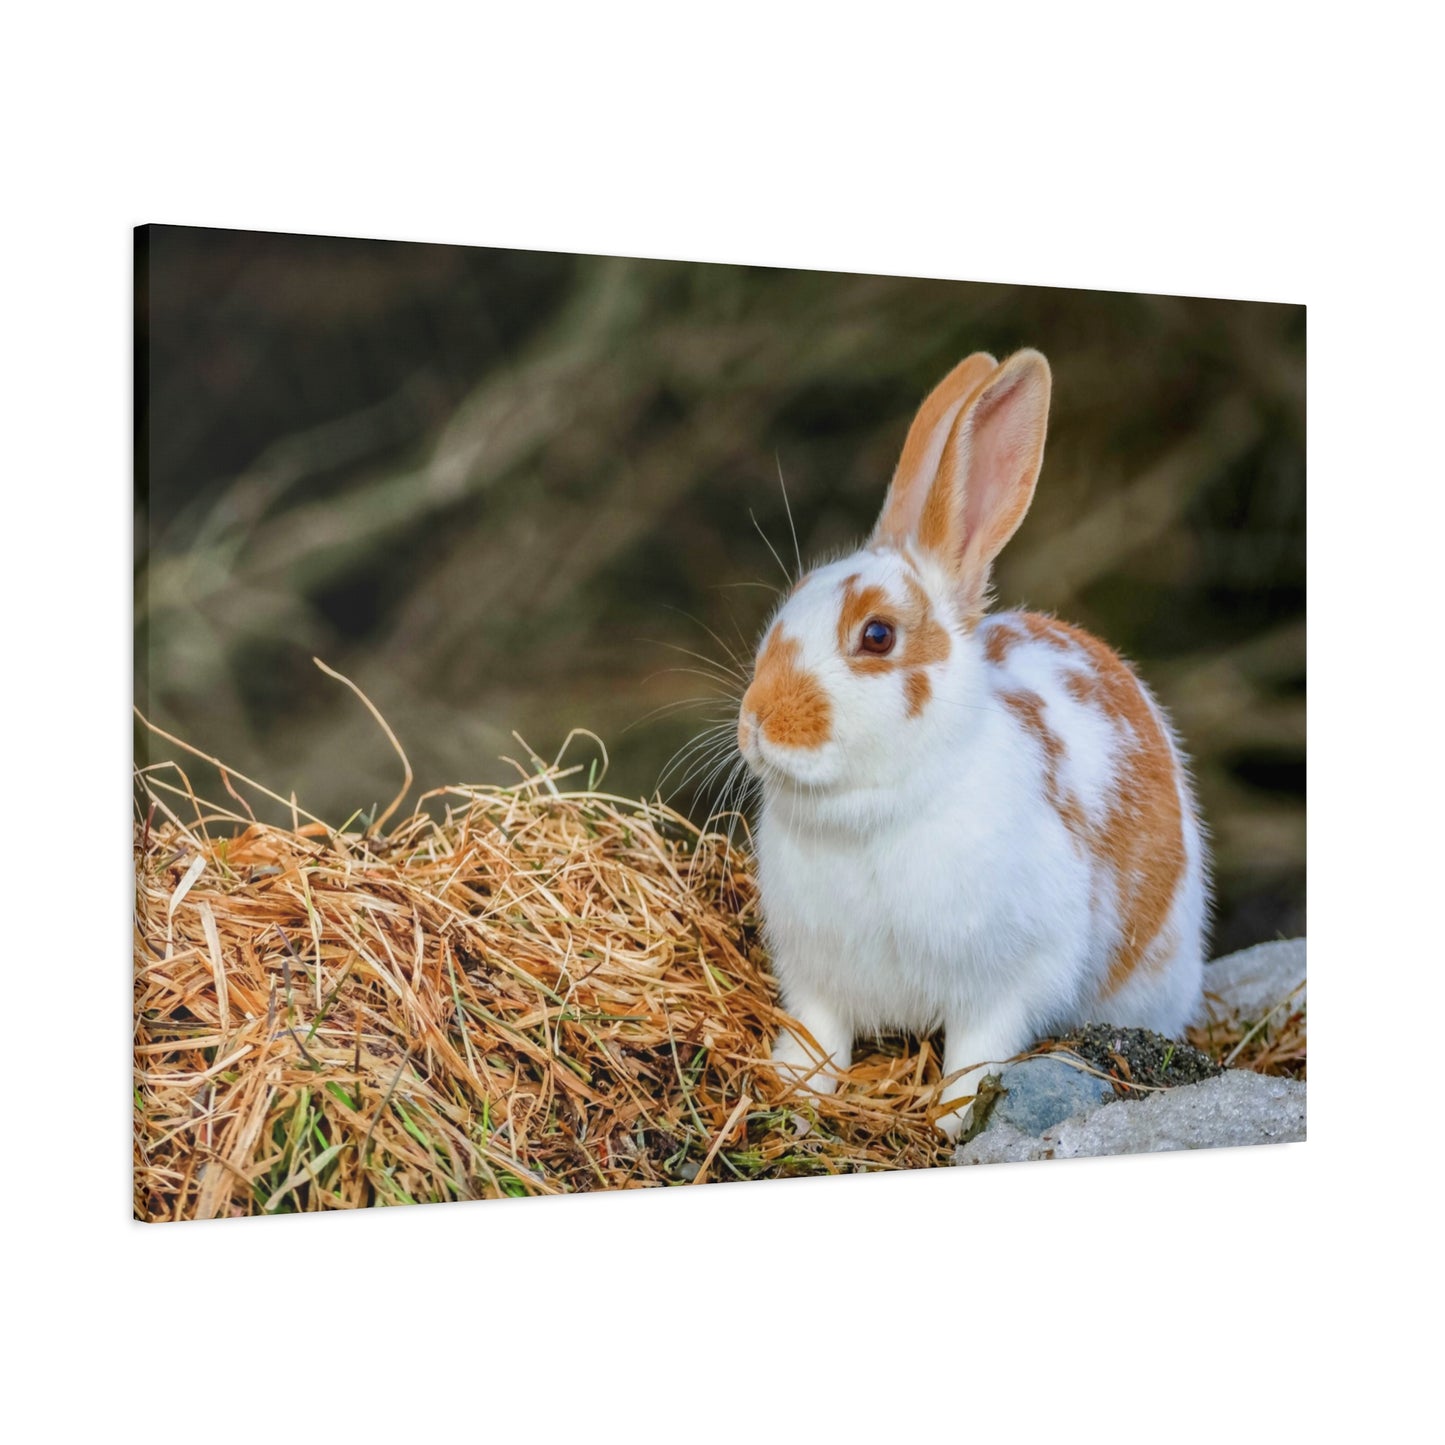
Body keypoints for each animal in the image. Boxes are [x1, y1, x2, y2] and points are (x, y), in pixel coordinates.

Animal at [736, 348, 1209, 1140]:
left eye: (877, 635)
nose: (756, 723)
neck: (870, 815)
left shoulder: (1007, 984)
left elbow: (976, 1052)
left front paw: (953, 1122)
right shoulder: (816, 979)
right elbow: (818, 1039)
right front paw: (796, 1094)